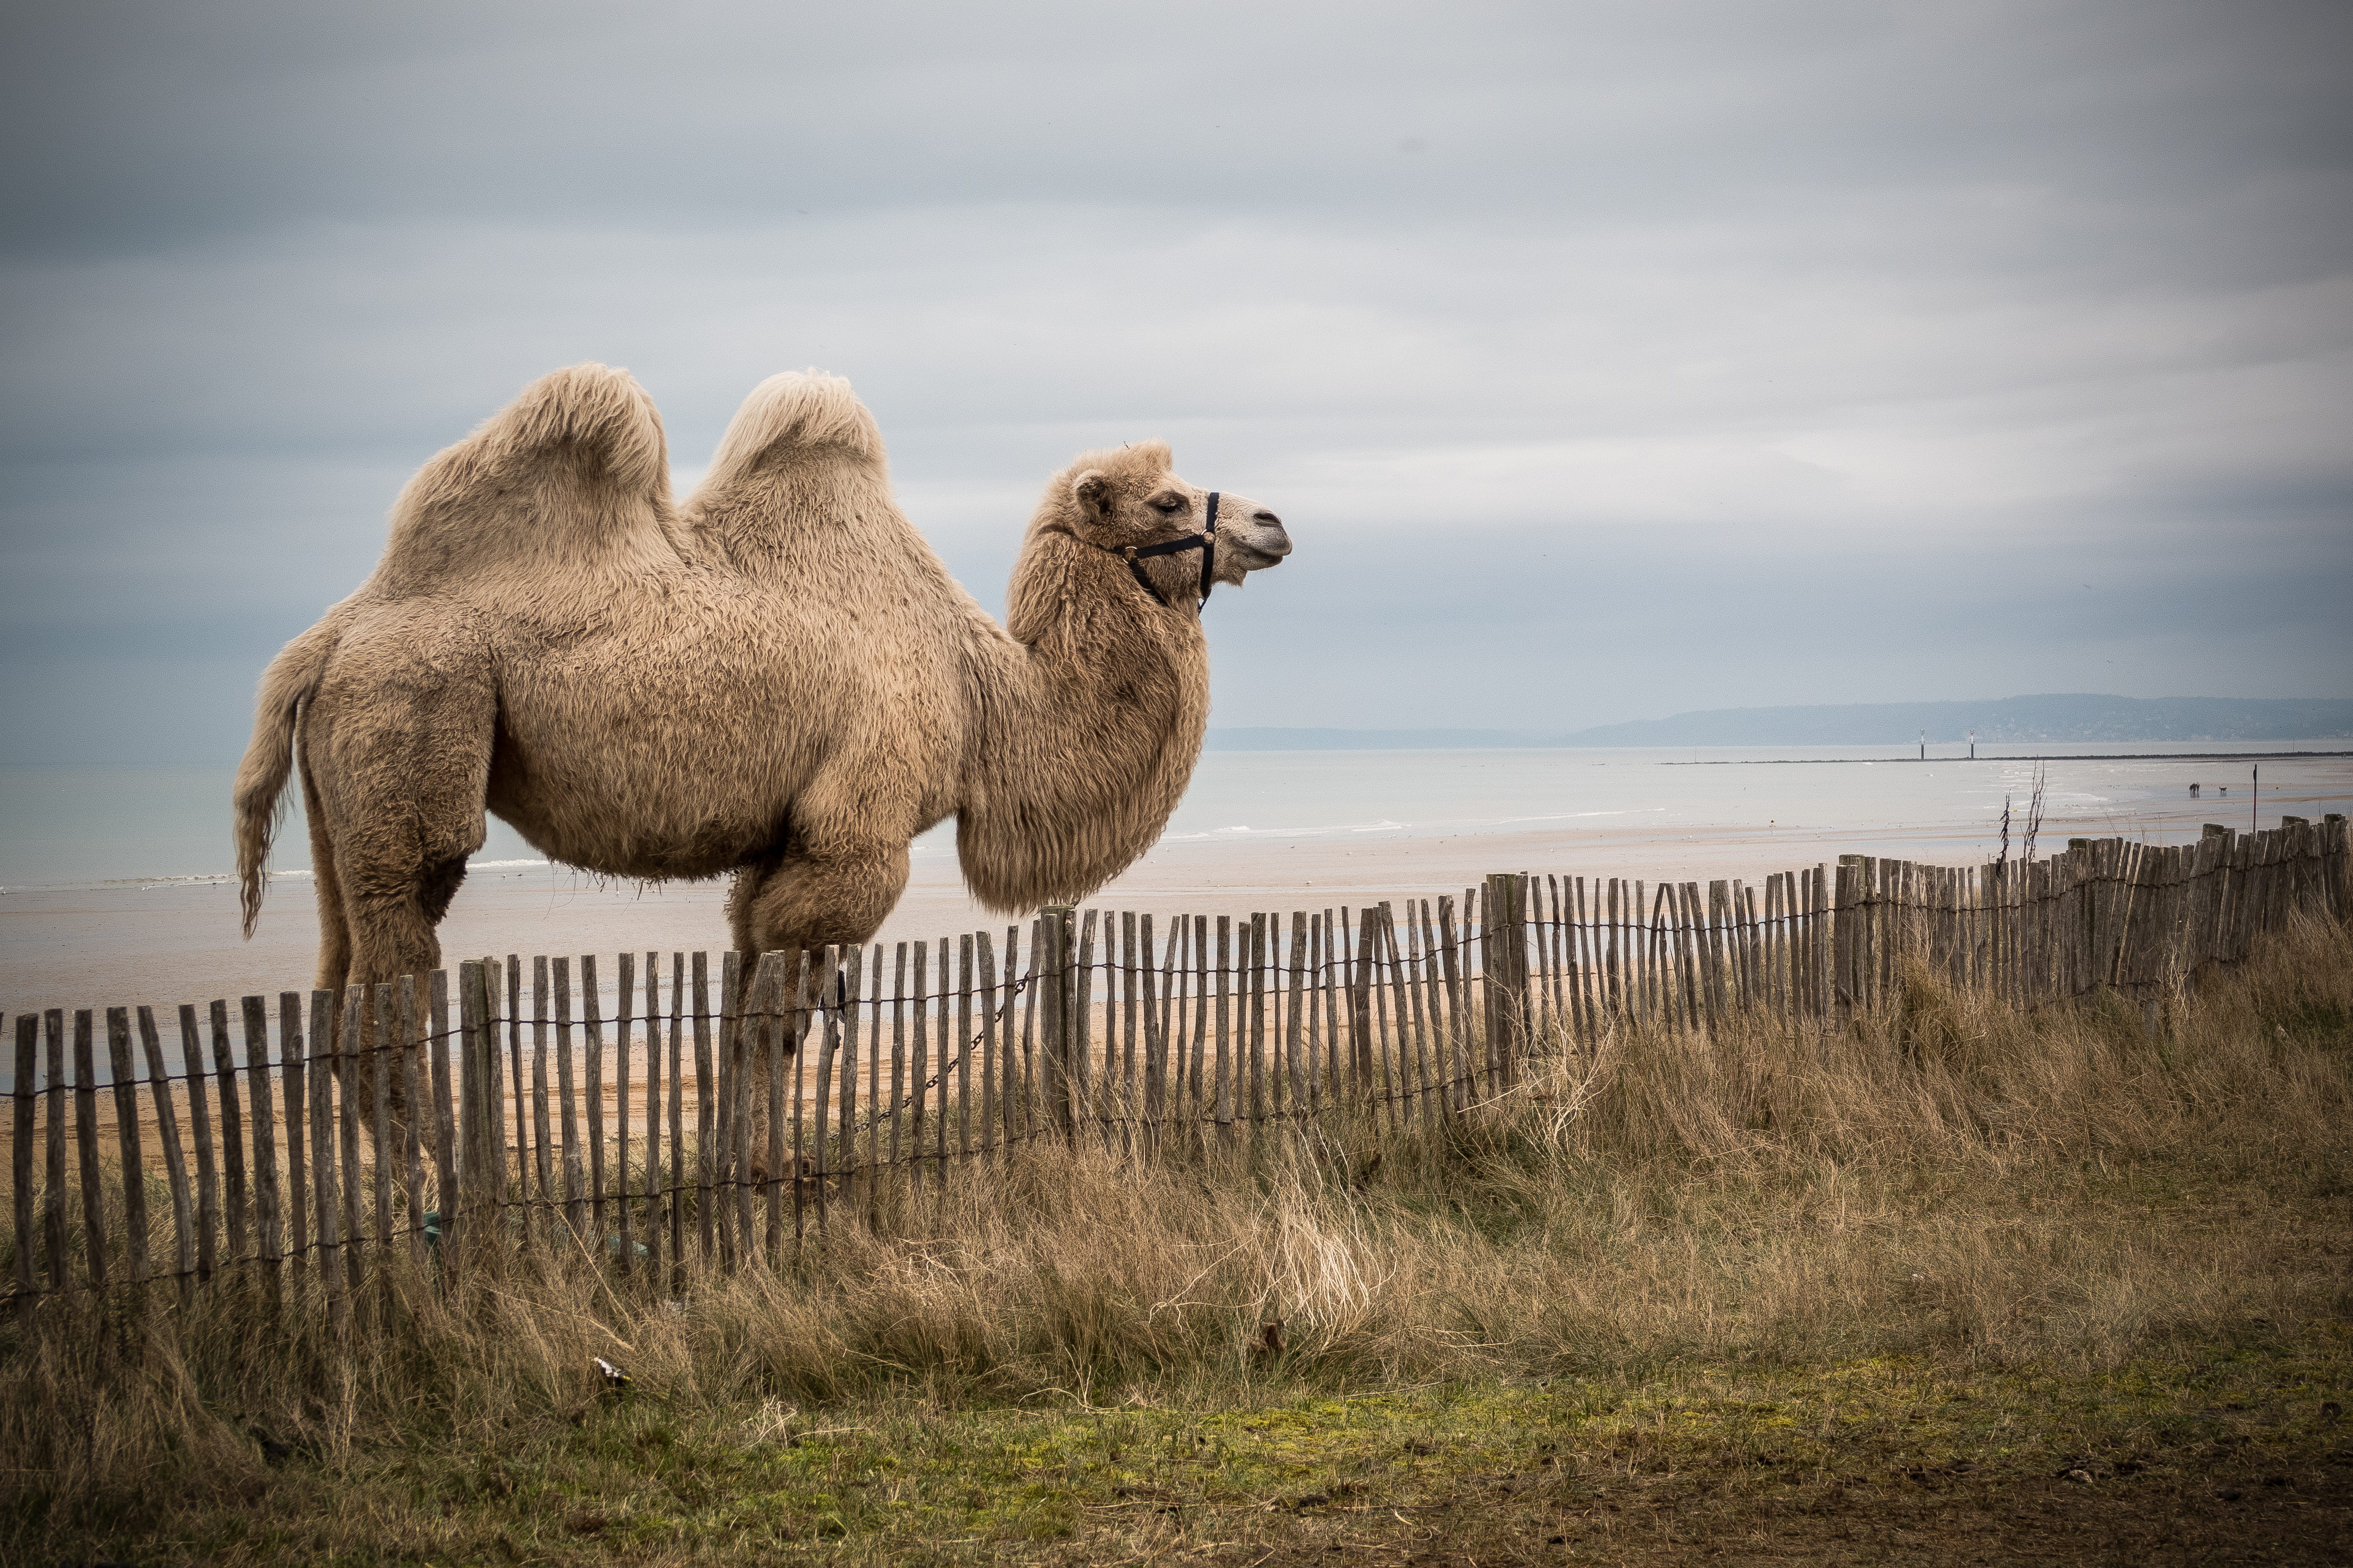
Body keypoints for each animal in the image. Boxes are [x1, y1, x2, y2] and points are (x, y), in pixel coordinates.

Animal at [231, 369, 1299, 1147]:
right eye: (1166, 500)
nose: (1272, 523)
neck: (982, 696)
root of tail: (327, 639)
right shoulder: (851, 839)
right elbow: (774, 1026)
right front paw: (765, 1179)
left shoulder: (779, 846)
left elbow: (751, 1014)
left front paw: (735, 1168)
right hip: (417, 716)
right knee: (395, 976)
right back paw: (432, 1185)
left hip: (344, 794)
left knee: (338, 974)